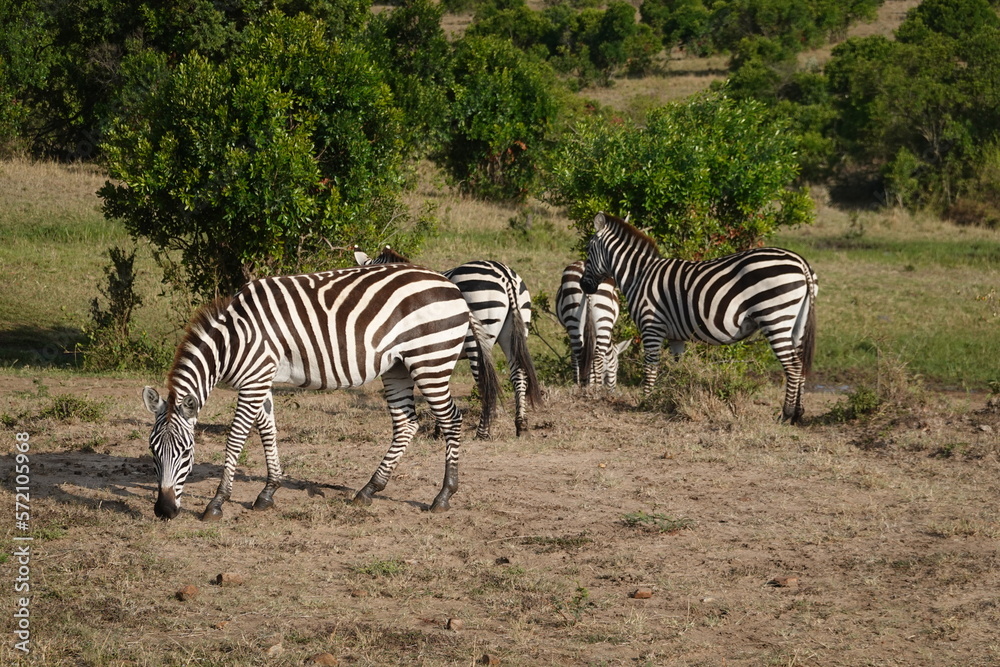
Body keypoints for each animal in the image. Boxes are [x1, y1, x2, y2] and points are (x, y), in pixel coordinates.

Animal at [140, 264, 500, 520]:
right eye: (153, 452)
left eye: (187, 453)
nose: (164, 511)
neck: (235, 338)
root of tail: (452, 287)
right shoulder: (261, 379)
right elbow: (267, 430)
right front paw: (268, 493)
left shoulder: (254, 380)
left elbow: (237, 437)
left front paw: (216, 503)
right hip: (398, 366)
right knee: (407, 424)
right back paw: (369, 490)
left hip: (431, 359)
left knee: (451, 419)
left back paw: (443, 496)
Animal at [356, 245, 544, 438]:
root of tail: (504, 274)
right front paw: (440, 427)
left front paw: (439, 428)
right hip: (516, 328)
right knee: (519, 374)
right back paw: (521, 425)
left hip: (478, 331)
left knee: (484, 380)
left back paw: (482, 432)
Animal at [552, 260, 628, 388]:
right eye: (616, 367)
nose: (612, 389)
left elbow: (577, 358)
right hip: (602, 320)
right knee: (596, 357)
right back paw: (593, 387)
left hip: (575, 321)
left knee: (581, 356)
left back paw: (587, 386)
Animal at [584, 214, 816, 422]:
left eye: (588, 251)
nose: (585, 287)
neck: (639, 276)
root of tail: (801, 262)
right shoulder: (675, 337)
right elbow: (677, 368)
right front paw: (673, 396)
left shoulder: (651, 326)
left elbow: (650, 365)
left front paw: (646, 400)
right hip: (797, 323)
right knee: (801, 365)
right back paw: (798, 414)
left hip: (775, 317)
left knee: (793, 366)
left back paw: (786, 414)